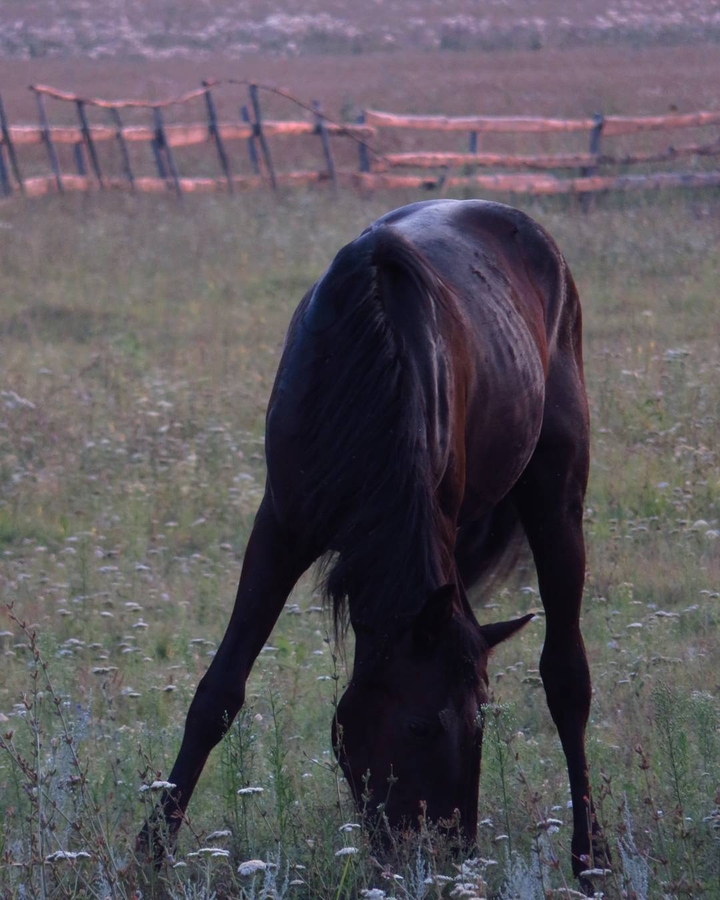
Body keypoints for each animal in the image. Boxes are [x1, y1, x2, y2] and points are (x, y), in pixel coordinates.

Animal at [138, 198, 601, 883]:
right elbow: (219, 690)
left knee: (567, 678)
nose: (447, 853)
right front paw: (149, 851)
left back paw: (591, 855)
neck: (367, 364)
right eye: (420, 728)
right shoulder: (281, 525)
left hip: (556, 498)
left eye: (481, 725)